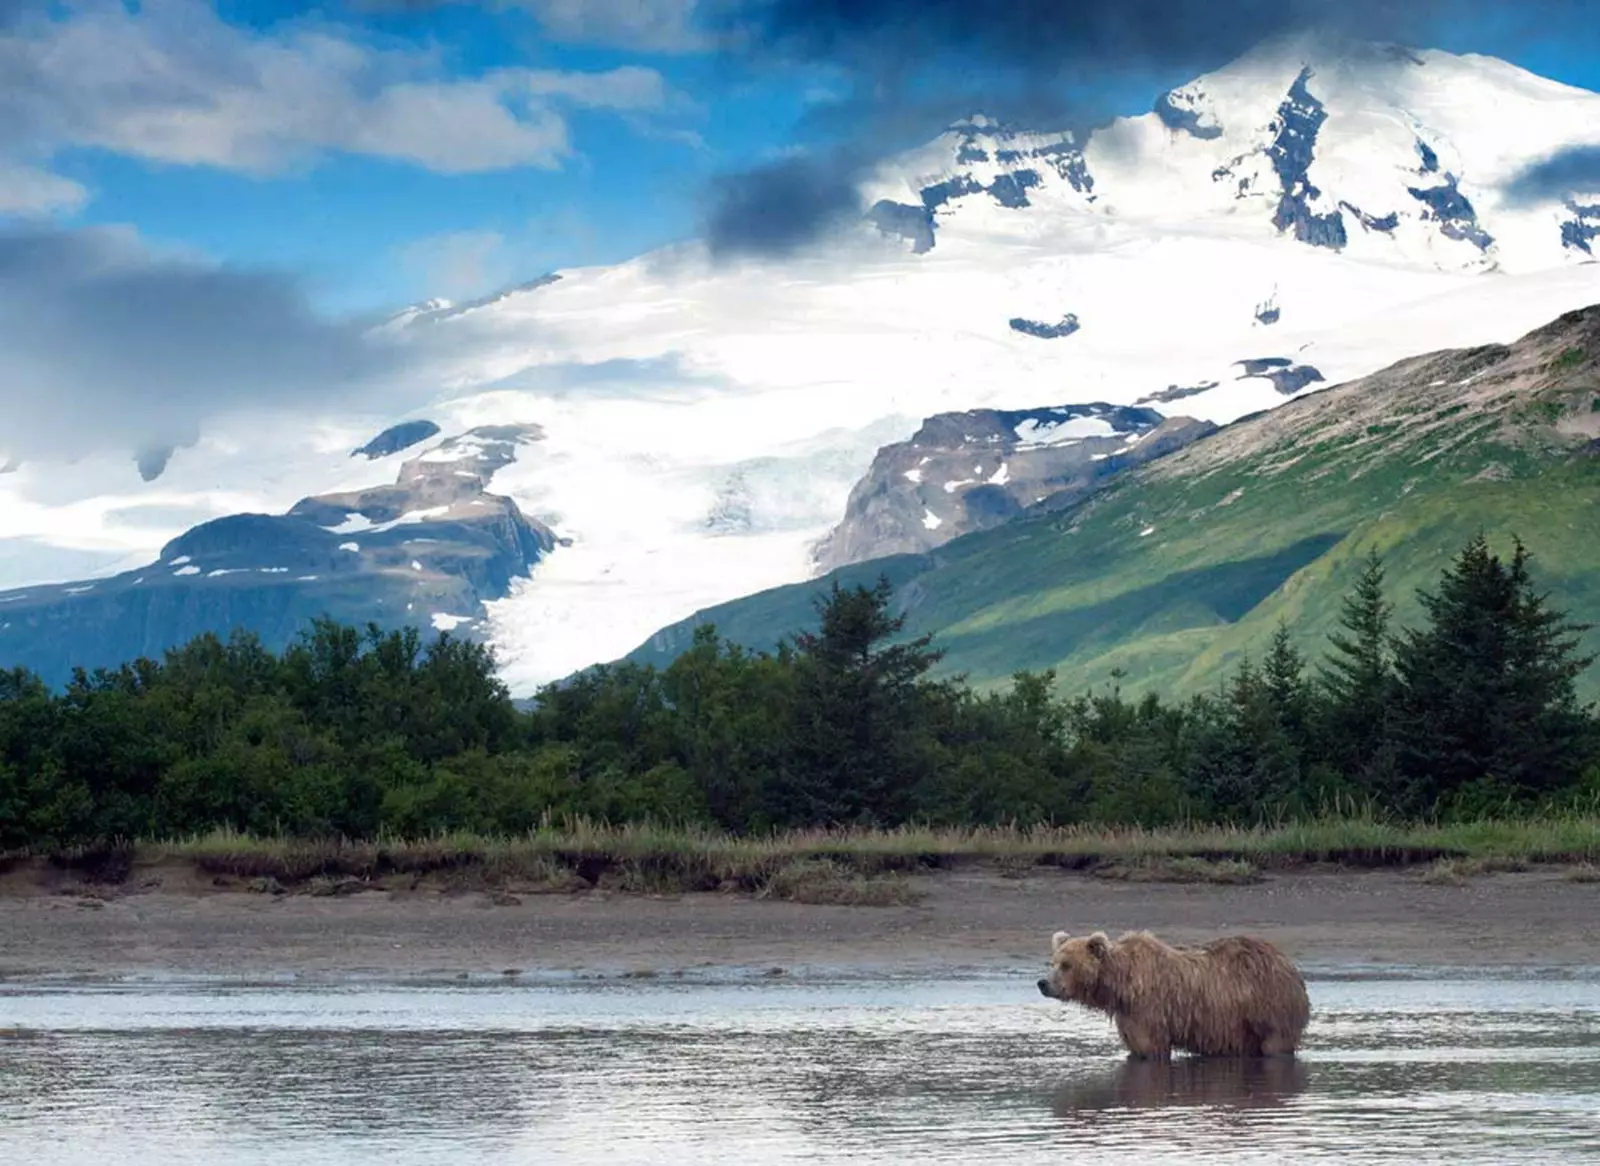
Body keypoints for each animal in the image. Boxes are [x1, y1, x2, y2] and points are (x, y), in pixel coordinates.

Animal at [1036, 927, 1312, 1055]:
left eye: (1067, 964)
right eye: (1053, 962)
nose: (1043, 983)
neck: (1121, 984)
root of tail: (1289, 965)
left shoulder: (1148, 1009)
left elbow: (1151, 1047)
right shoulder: (1129, 1015)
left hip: (1269, 1008)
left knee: (1275, 1045)